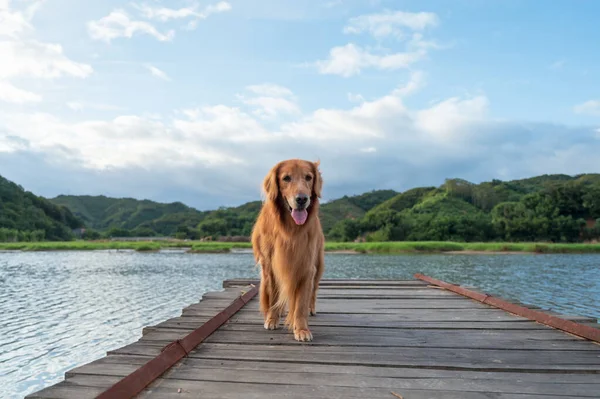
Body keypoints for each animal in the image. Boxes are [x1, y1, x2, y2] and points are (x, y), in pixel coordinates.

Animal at [250, 159, 324, 344]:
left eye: (308, 177)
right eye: (286, 178)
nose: (302, 199)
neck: (289, 230)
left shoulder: (306, 267)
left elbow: (301, 304)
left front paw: (302, 329)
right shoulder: (271, 267)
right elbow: (274, 296)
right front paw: (272, 319)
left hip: (318, 264)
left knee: (313, 291)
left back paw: (311, 309)